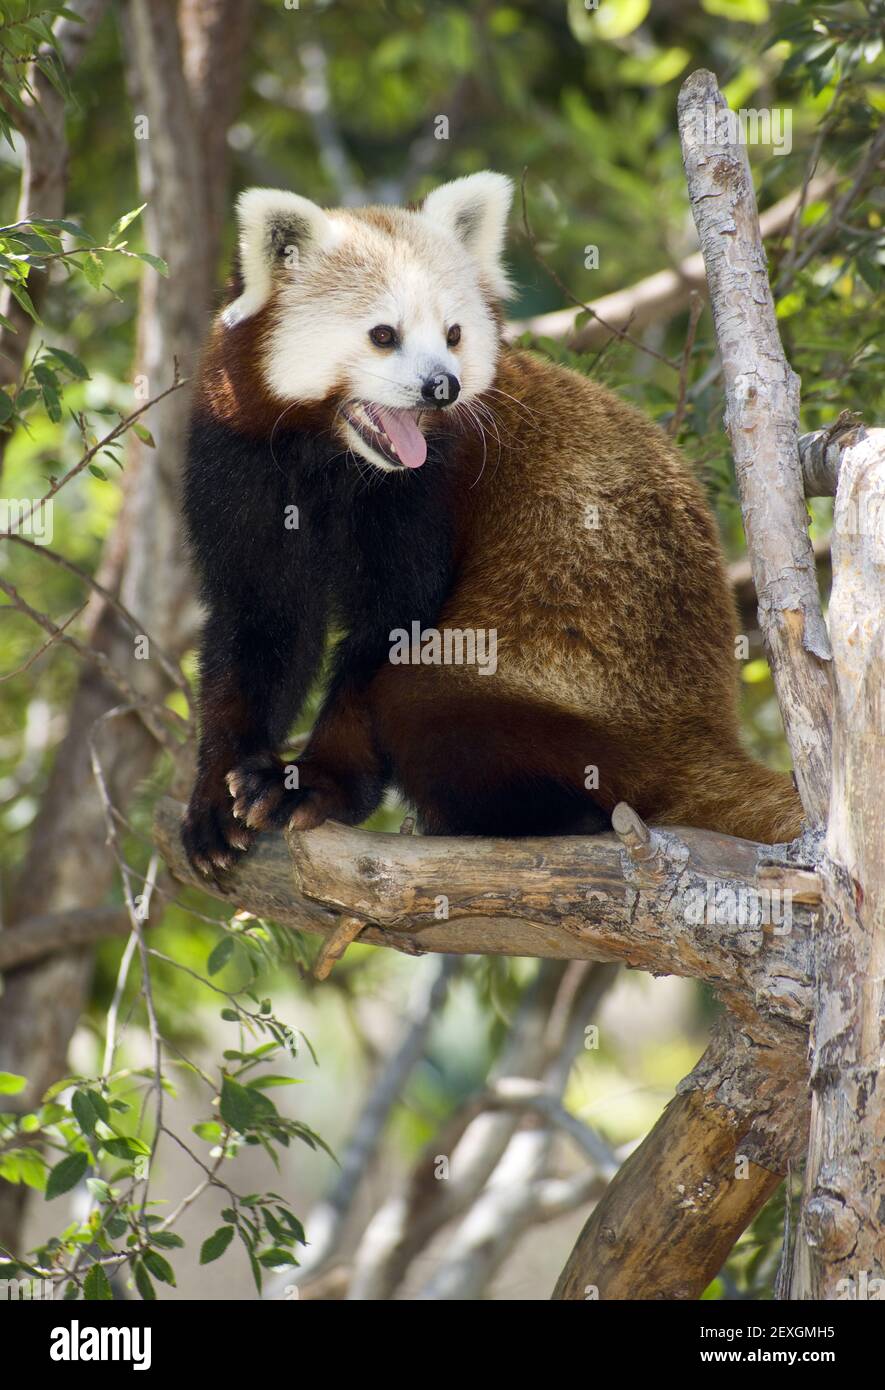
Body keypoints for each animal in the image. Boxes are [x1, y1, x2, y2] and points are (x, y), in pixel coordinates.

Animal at [179, 168, 800, 872]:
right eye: (383, 334)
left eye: (453, 334)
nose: (442, 387)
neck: (334, 457)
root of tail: (705, 737)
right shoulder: (239, 458)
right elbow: (261, 621)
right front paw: (216, 796)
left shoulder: (427, 493)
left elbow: (388, 634)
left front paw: (313, 783)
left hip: (581, 705)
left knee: (420, 701)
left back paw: (550, 816)